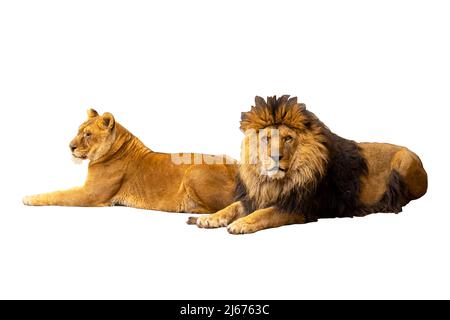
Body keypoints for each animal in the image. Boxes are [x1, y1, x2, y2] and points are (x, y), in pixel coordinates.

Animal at [23, 109, 237, 214]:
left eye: (88, 134)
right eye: (79, 131)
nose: (70, 146)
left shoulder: (90, 195)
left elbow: (58, 194)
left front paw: (29, 198)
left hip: (194, 171)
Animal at [188, 96, 428, 234]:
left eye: (287, 138)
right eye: (266, 138)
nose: (275, 157)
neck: (276, 181)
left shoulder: (301, 207)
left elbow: (265, 213)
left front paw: (242, 223)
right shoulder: (256, 196)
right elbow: (232, 206)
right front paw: (208, 218)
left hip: (404, 160)